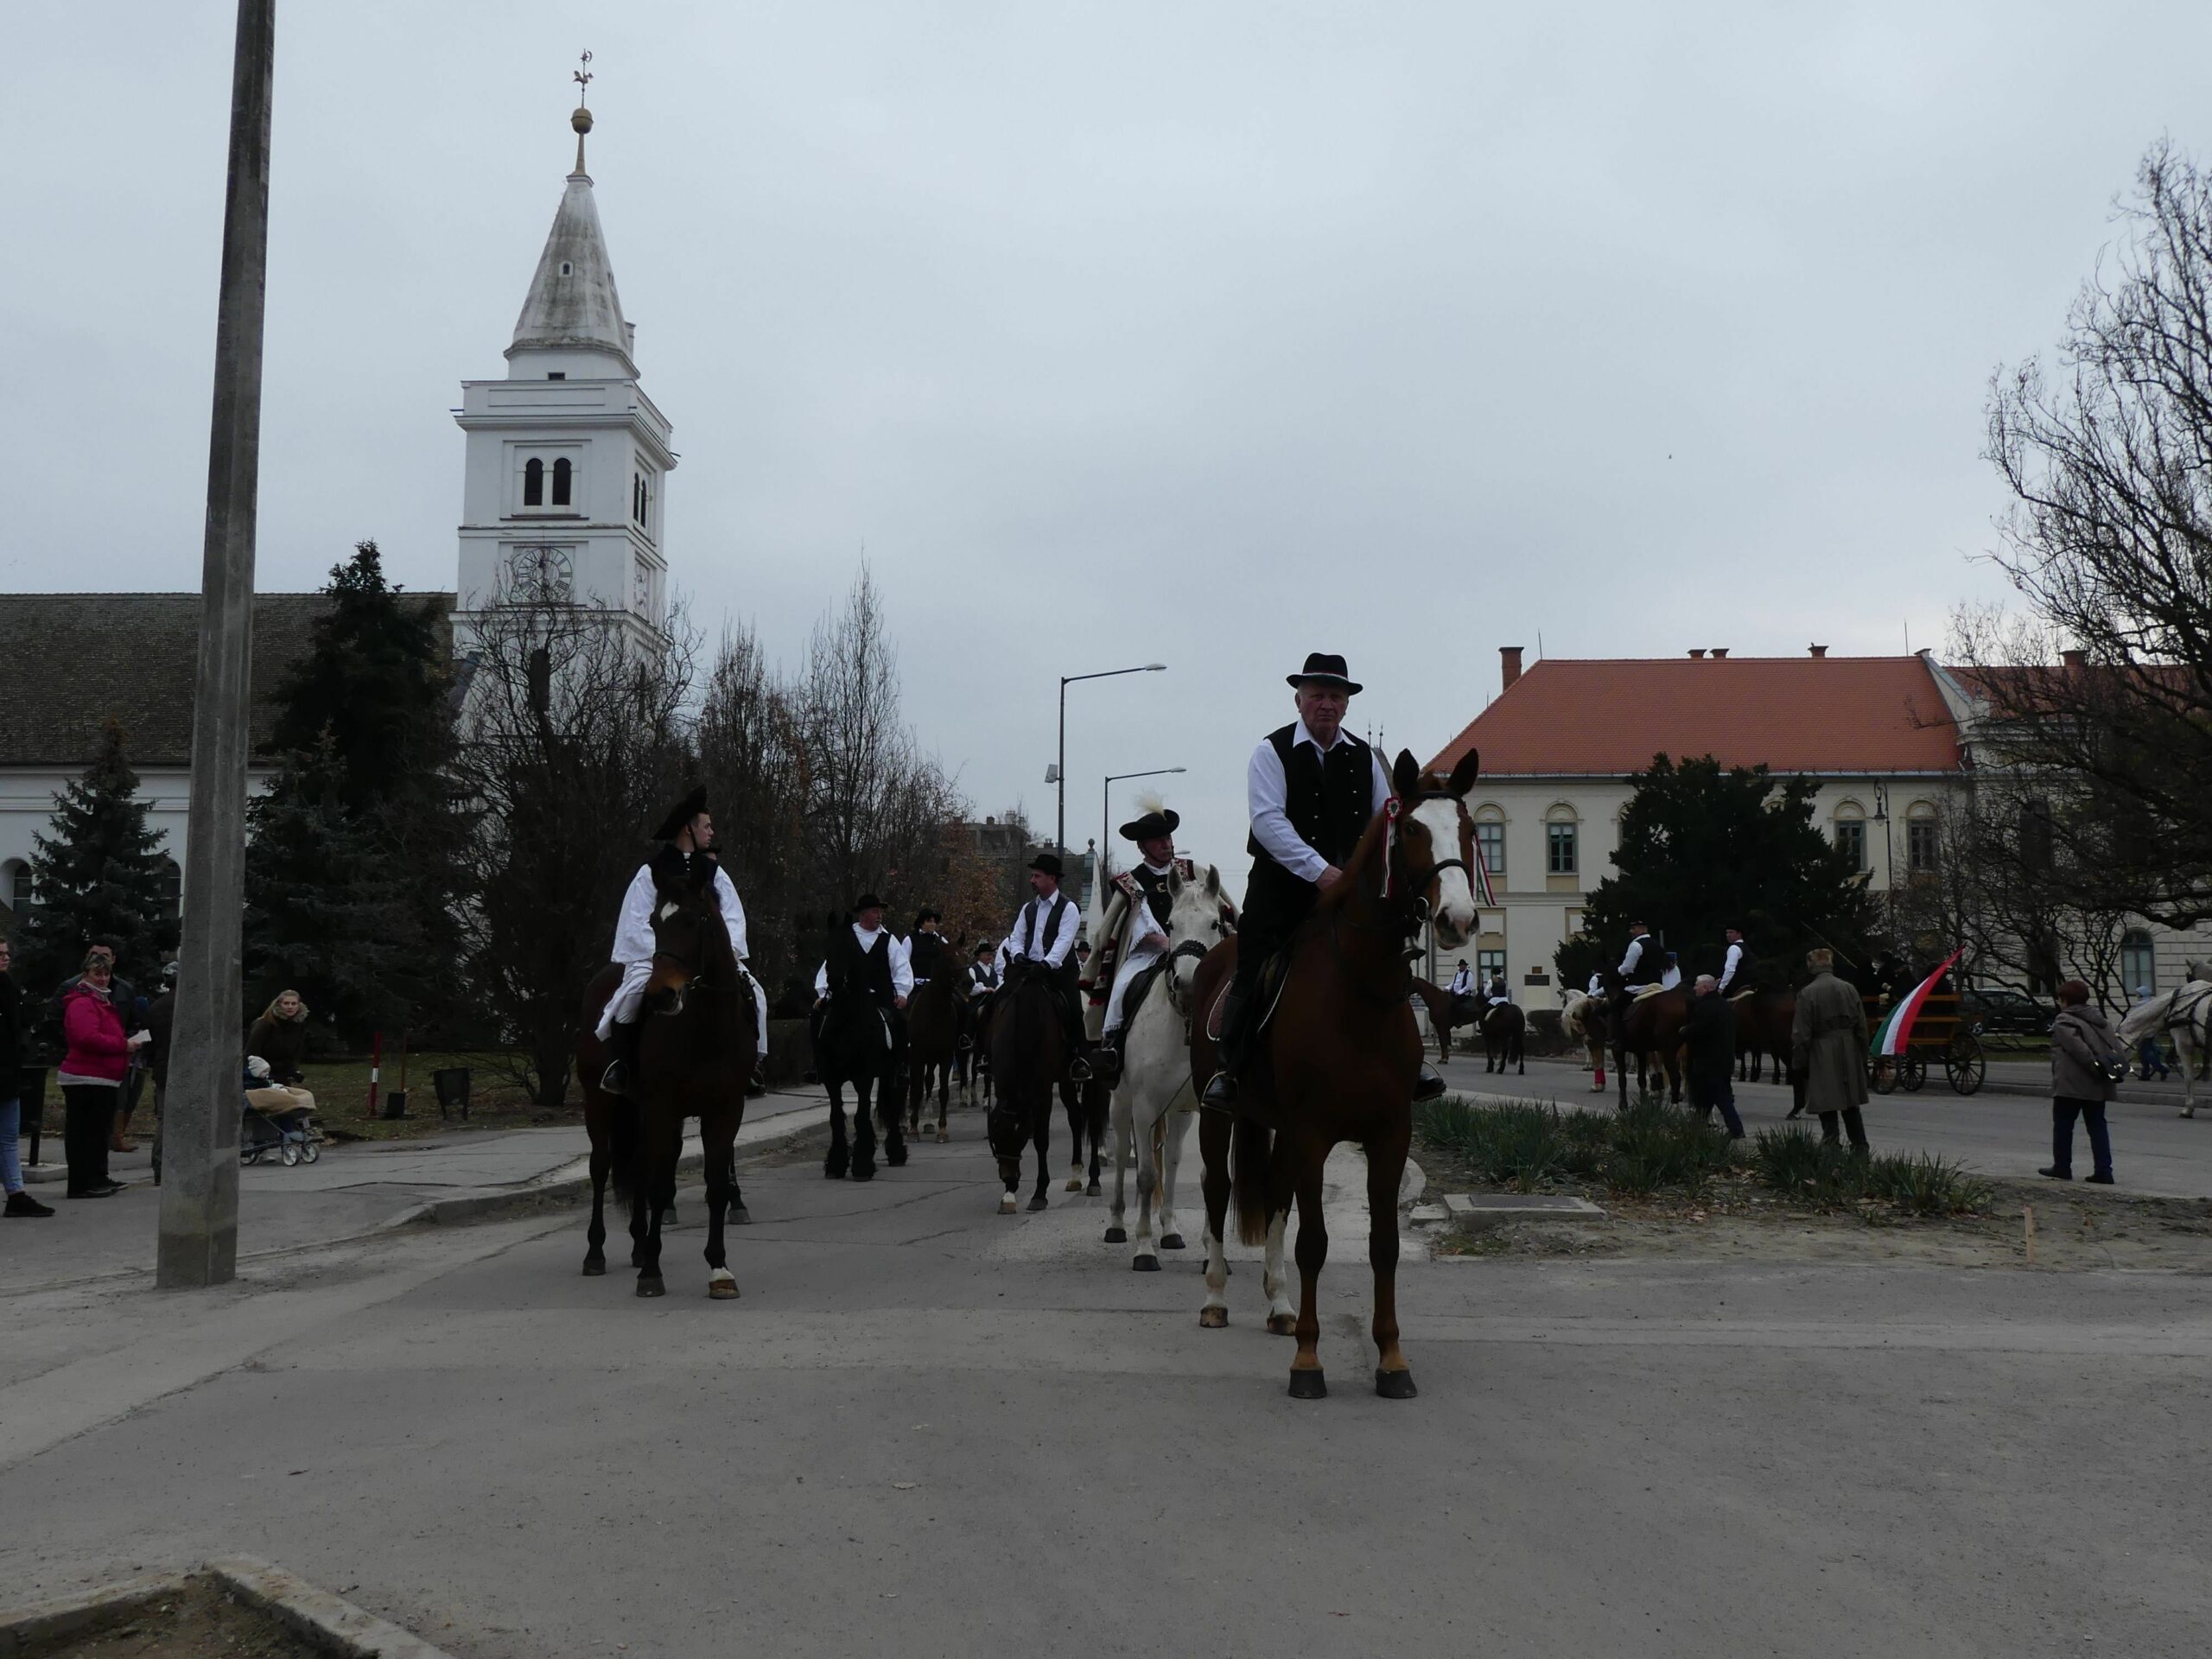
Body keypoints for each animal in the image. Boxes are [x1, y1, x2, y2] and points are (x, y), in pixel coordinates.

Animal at [575, 858, 756, 1300]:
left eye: (694, 920)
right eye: (654, 922)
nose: (660, 994)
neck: (706, 1029)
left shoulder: (726, 1109)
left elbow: (715, 1184)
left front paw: (719, 1268)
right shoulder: (664, 1107)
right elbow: (659, 1186)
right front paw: (651, 1273)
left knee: (639, 1167)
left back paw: (639, 1246)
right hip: (600, 1101)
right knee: (601, 1166)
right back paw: (597, 1252)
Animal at [902, 973, 964, 1141]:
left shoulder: (945, 1056)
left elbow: (941, 1091)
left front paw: (941, 1129)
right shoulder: (915, 1057)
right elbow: (914, 1089)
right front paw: (910, 1127)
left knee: (930, 1081)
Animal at [1101, 858, 1238, 1274]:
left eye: (1215, 922)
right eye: (1171, 924)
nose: (1189, 982)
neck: (1186, 1023)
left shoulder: (1212, 1108)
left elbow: (1210, 1175)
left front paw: (1213, 1253)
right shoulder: (1144, 1107)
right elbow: (1146, 1176)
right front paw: (1144, 1249)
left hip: (1179, 1111)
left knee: (1174, 1160)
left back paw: (1171, 1229)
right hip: (1121, 1104)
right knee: (1123, 1153)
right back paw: (1117, 1224)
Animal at [1185, 752, 1478, 1407]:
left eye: (1471, 833)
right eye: (1412, 829)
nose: (1458, 919)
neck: (1359, 991)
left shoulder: (1389, 1134)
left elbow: (1383, 1245)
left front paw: (1391, 1360)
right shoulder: (1314, 1133)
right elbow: (1314, 1244)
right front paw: (1309, 1362)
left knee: (1272, 1197)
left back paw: (1278, 1306)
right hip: (1219, 1116)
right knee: (1218, 1191)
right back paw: (1215, 1298)